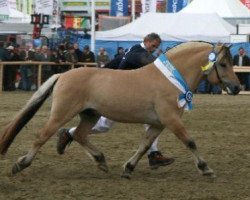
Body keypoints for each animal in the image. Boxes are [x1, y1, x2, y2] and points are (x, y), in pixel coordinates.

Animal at [0, 41, 241, 178]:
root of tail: (63, 75)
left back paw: (100, 161)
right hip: (61, 114)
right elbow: (190, 141)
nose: (237, 87)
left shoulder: (158, 123)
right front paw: (205, 168)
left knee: (79, 134)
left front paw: (129, 168)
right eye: (223, 64)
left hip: (90, 115)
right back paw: (20, 164)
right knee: (42, 136)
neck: (170, 78)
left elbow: (145, 145)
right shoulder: (171, 119)